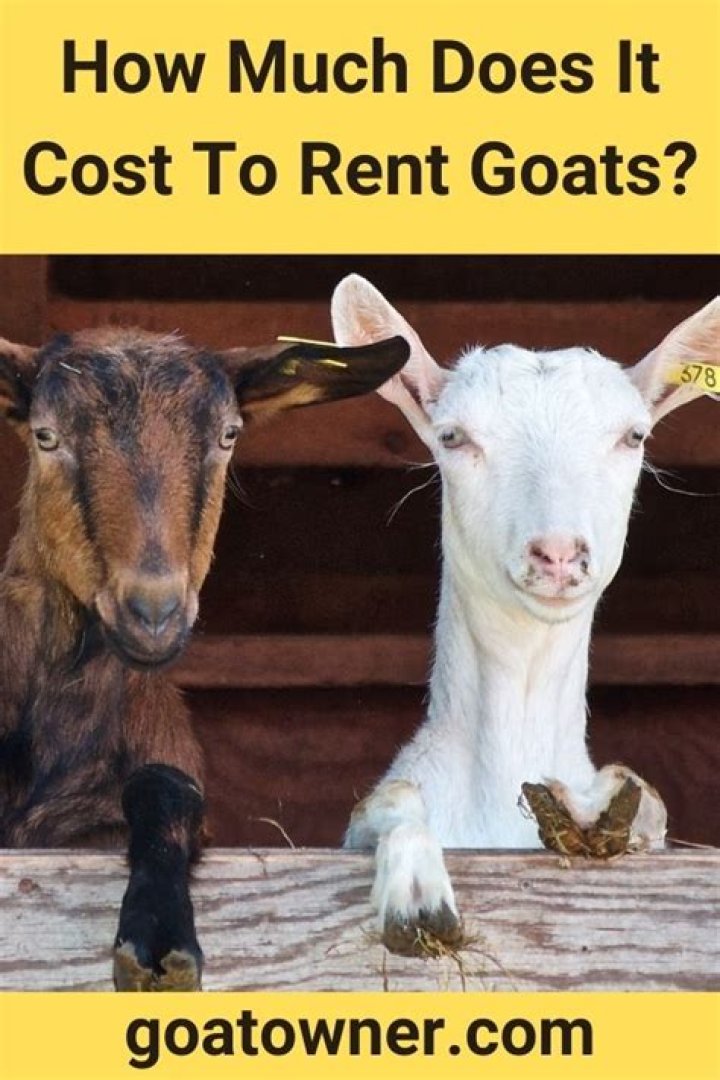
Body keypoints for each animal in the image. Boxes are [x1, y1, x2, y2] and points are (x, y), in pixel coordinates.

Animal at [332, 275, 718, 954]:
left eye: (634, 436)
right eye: (452, 437)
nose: (558, 553)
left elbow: (647, 801)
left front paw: (597, 808)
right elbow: (391, 799)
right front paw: (417, 895)